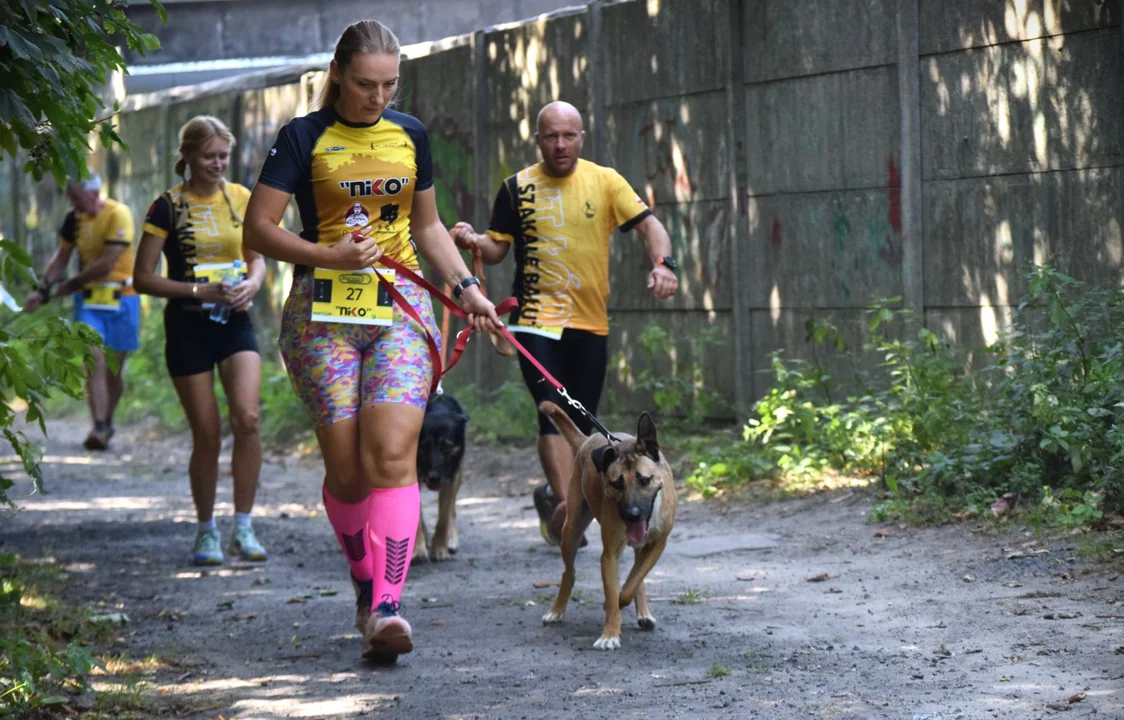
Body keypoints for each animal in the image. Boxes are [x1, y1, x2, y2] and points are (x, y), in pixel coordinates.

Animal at [415, 386, 467, 561]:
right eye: (424, 446)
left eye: (447, 447)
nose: (434, 477)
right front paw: (418, 549)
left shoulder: (450, 477)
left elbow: (444, 516)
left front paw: (439, 548)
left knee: (452, 509)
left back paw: (451, 540)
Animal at [537, 402, 674, 646]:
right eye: (616, 483)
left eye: (645, 480)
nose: (632, 514)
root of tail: (587, 440)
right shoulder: (609, 555)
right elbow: (613, 595)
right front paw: (610, 633)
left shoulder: (657, 545)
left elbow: (632, 583)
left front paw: (624, 604)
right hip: (571, 530)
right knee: (569, 573)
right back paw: (557, 609)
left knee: (636, 576)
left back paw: (643, 612)